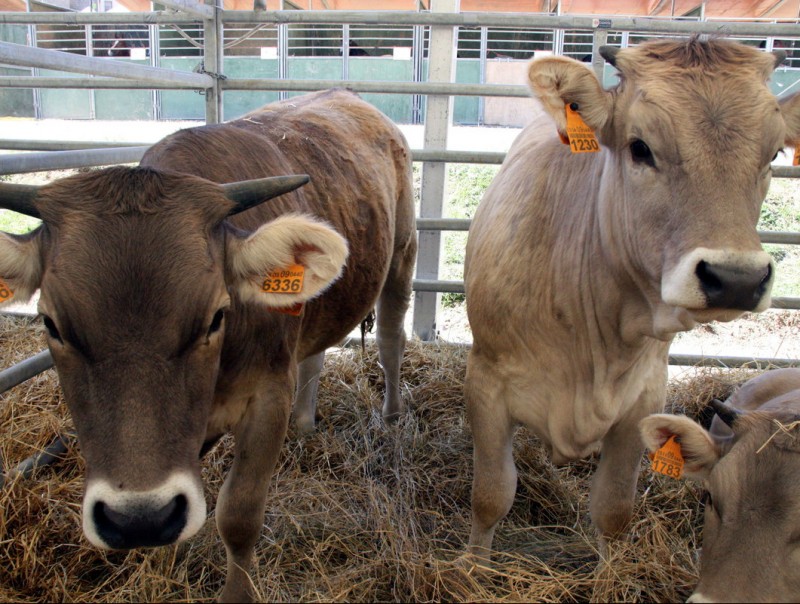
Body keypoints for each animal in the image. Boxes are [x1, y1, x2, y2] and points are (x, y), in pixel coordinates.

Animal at [0, 87, 422, 600]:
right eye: (52, 324)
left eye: (216, 315)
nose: (136, 519)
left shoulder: (267, 399)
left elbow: (238, 515)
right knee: (314, 354)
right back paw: (305, 424)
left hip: (402, 251)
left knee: (391, 338)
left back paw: (393, 414)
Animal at [460, 36, 800, 556]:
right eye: (640, 147)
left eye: (774, 153)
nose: (736, 277)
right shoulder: (487, 383)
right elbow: (491, 495)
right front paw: (474, 566)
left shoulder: (644, 398)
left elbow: (614, 508)